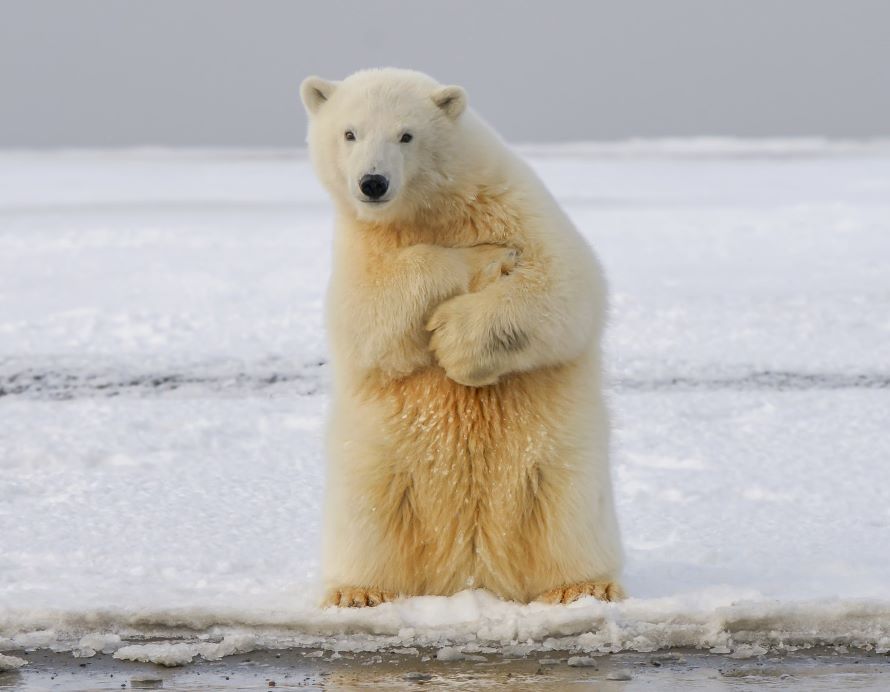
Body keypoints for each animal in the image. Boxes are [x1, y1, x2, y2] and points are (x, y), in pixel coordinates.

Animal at [302, 69, 620, 604]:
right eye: (349, 133)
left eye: (406, 135)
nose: (373, 182)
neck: (433, 209)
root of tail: (472, 573)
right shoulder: (360, 246)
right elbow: (367, 316)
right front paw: (481, 258)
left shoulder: (515, 205)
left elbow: (565, 286)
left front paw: (455, 342)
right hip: (378, 465)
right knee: (369, 516)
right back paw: (359, 592)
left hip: (559, 462)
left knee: (566, 511)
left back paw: (582, 587)